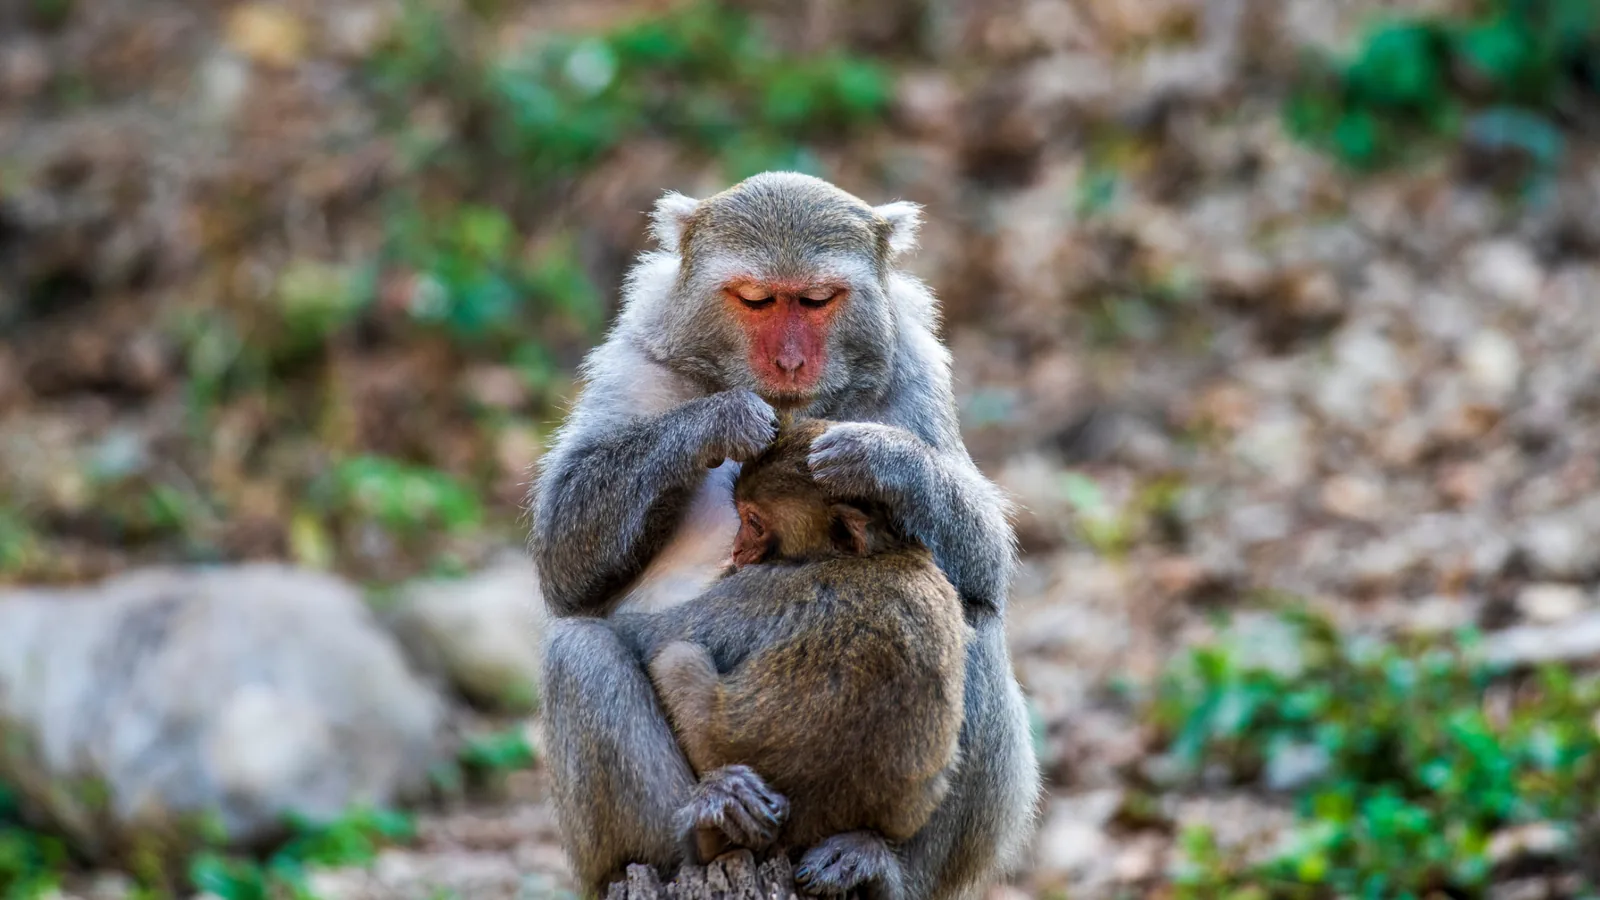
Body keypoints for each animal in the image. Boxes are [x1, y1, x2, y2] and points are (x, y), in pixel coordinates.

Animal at [608, 418, 972, 900]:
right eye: (741, 517)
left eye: (754, 522)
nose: (736, 550)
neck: (877, 553)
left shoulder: (761, 588)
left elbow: (643, 637)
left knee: (678, 657)